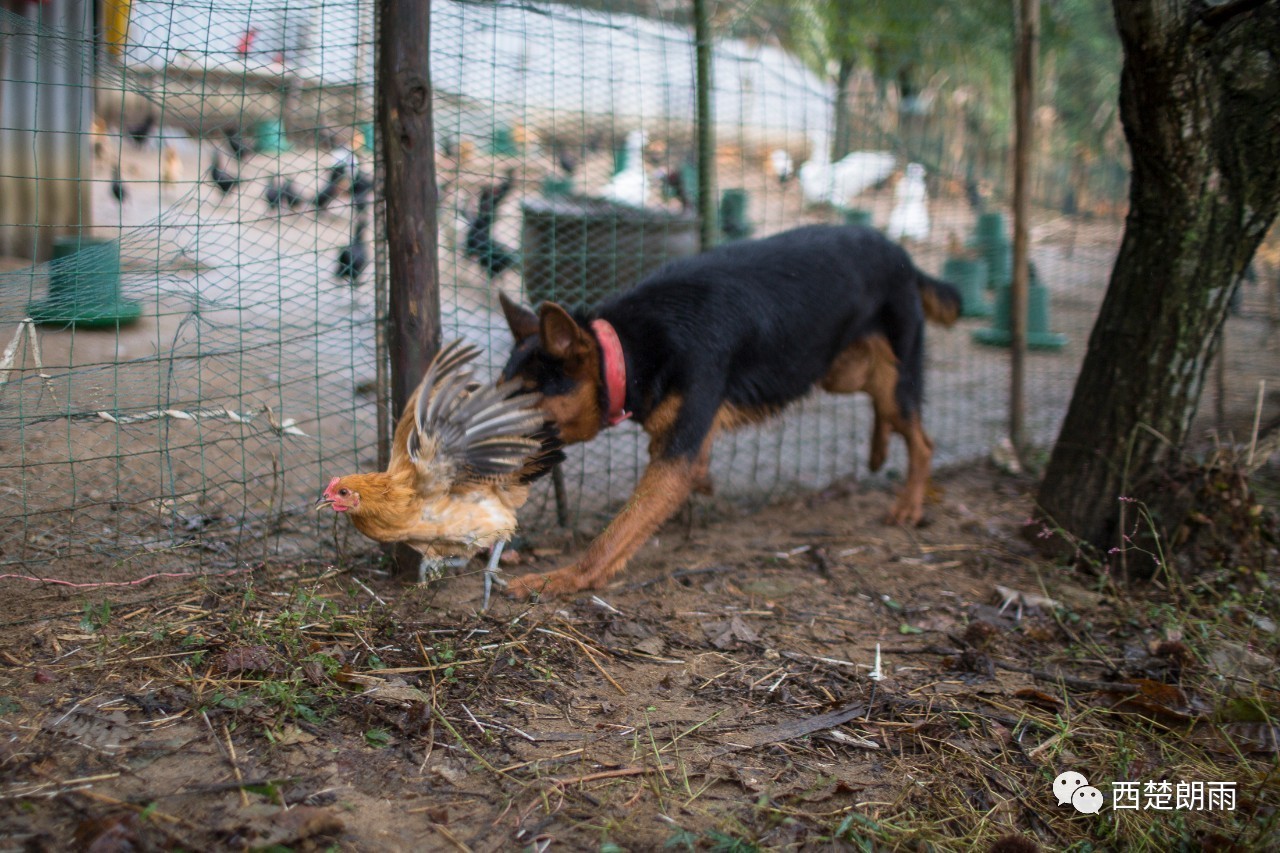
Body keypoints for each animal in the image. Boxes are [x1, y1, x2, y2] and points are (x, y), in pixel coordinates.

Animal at [499, 225, 962, 596]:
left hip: (891, 377)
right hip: (837, 369)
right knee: (886, 410)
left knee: (921, 440)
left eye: (521, 407)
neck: (628, 349)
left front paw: (562, 578)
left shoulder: (676, 458)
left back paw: (909, 505)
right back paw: (879, 451)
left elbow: (615, 534)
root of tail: (901, 254)